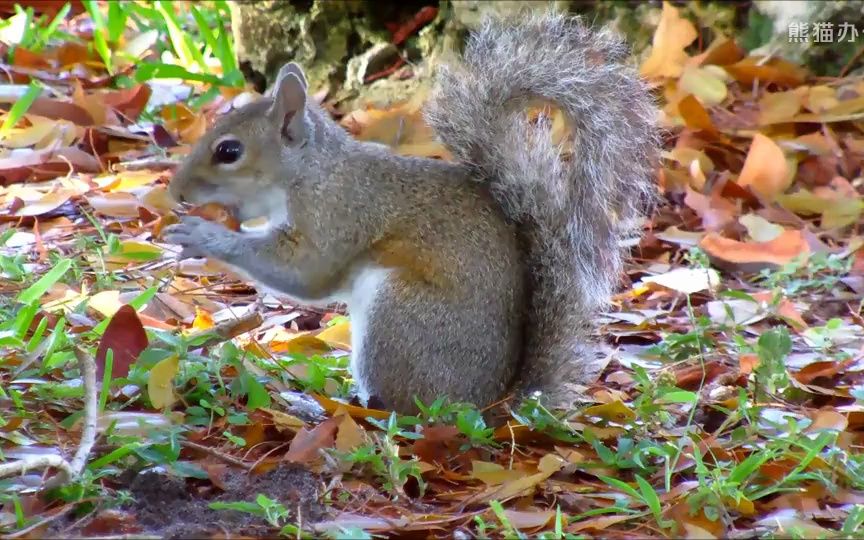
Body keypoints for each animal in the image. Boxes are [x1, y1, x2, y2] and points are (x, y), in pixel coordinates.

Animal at [164, 10, 660, 414]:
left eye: (229, 151)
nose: (174, 191)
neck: (312, 171)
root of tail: (487, 406)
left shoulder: (339, 212)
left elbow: (305, 272)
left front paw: (203, 235)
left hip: (399, 314)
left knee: (404, 409)